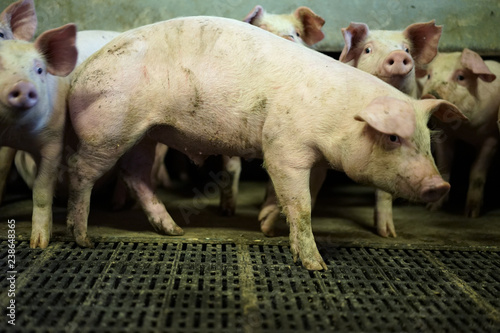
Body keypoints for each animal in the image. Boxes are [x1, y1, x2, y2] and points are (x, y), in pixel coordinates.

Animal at [66, 16, 464, 270]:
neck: (338, 118)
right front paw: (316, 266)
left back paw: (173, 229)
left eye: (426, 141)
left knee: (135, 173)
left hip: (146, 132)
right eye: (393, 137)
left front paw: (268, 224)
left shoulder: (318, 161)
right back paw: (82, 239)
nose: (440, 185)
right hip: (107, 129)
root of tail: (79, 76)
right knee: (81, 172)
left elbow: (305, 196)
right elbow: (302, 205)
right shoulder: (284, 148)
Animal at [422, 48, 500, 217]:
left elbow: (477, 171)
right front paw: (432, 208)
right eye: (429, 75)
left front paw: (471, 214)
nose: (429, 95)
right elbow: (444, 165)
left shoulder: (492, 138)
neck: (466, 130)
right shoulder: (444, 135)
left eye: (461, 77)